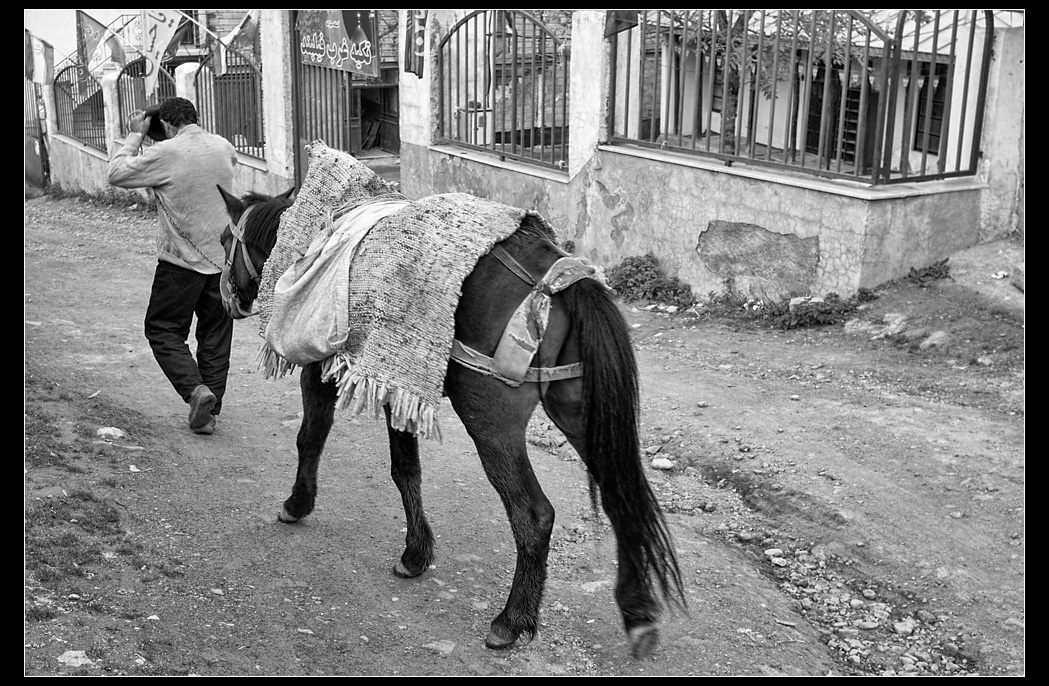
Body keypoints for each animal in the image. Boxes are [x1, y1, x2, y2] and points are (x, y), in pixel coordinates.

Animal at [216, 186, 685, 659]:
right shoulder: (399, 381)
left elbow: (310, 436)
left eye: (222, 240)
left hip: (491, 424)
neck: (313, 233)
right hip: (580, 416)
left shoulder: (322, 367)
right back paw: (637, 610)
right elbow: (405, 468)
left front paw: (297, 504)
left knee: (534, 515)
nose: (226, 299)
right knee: (619, 500)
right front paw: (415, 554)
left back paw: (511, 620)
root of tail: (562, 281)